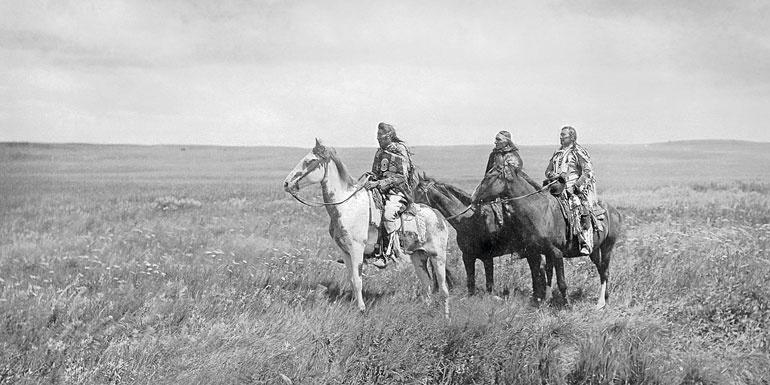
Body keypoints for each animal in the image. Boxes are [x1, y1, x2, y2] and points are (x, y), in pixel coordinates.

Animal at [282, 138, 450, 316]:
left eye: (310, 161)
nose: (286, 183)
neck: (347, 207)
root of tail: (439, 217)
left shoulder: (357, 249)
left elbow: (357, 280)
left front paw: (361, 309)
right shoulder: (345, 251)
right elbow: (351, 279)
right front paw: (355, 305)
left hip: (438, 256)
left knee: (443, 288)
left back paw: (446, 317)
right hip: (418, 256)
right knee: (427, 284)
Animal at [414, 173, 544, 300]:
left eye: (418, 190)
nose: (409, 205)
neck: (468, 221)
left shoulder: (486, 257)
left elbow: (489, 284)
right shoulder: (468, 256)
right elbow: (471, 281)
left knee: (537, 269)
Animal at [468, 164, 624, 308]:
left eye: (489, 177)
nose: (472, 198)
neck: (539, 211)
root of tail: (614, 211)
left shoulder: (556, 253)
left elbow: (561, 281)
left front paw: (567, 305)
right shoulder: (539, 252)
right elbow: (546, 276)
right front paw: (545, 300)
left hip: (607, 246)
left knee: (605, 271)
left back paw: (600, 303)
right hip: (594, 250)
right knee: (601, 269)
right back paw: (606, 297)